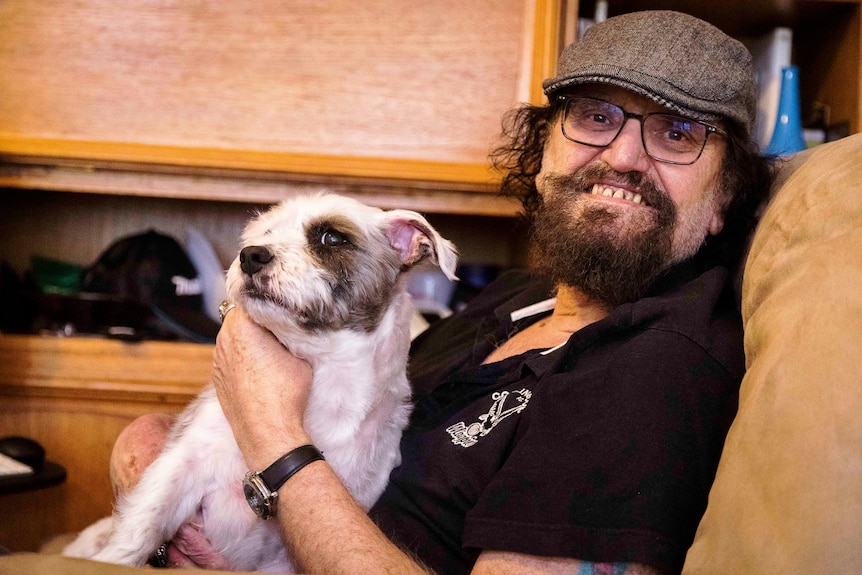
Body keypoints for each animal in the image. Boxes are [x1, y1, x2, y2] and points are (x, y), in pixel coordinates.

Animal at [64, 192, 460, 572]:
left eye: (332, 238)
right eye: (265, 233)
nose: (250, 256)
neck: (322, 377)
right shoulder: (186, 462)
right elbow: (142, 527)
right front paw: (112, 560)